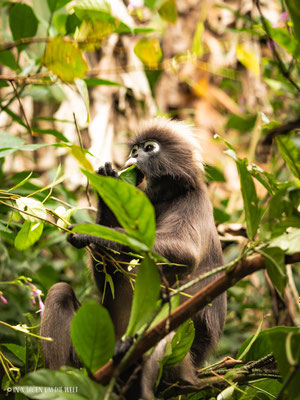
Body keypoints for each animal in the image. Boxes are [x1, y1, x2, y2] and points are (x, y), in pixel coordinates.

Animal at [41, 117, 226, 398]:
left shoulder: (194, 202)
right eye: (135, 149)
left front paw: (95, 233)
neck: (166, 197)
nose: (135, 155)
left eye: (149, 147)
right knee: (60, 291)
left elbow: (185, 254)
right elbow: (108, 283)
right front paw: (108, 186)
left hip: (181, 359)